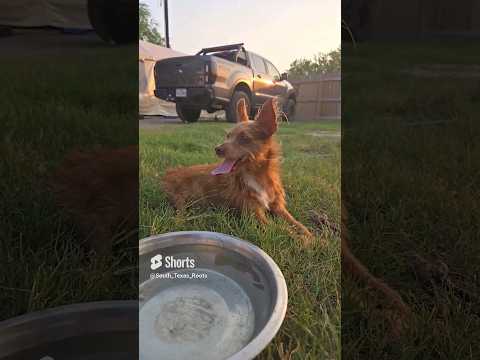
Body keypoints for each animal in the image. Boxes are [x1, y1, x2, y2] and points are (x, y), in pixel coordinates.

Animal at [163, 98, 314, 245]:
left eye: (244, 138)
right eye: (228, 136)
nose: (217, 149)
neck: (256, 176)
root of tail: (168, 173)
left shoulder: (278, 207)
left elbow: (296, 223)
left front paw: (311, 236)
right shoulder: (255, 214)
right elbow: (281, 229)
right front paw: (301, 240)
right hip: (186, 200)